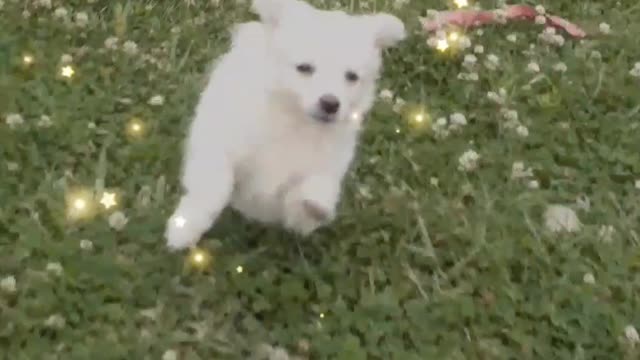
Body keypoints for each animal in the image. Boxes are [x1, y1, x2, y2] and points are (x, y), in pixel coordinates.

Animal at [165, 0, 404, 249]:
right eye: (304, 68)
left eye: (352, 77)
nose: (330, 103)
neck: (295, 122)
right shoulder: (219, 143)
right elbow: (213, 185)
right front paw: (184, 228)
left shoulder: (321, 170)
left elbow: (309, 196)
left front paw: (317, 204)